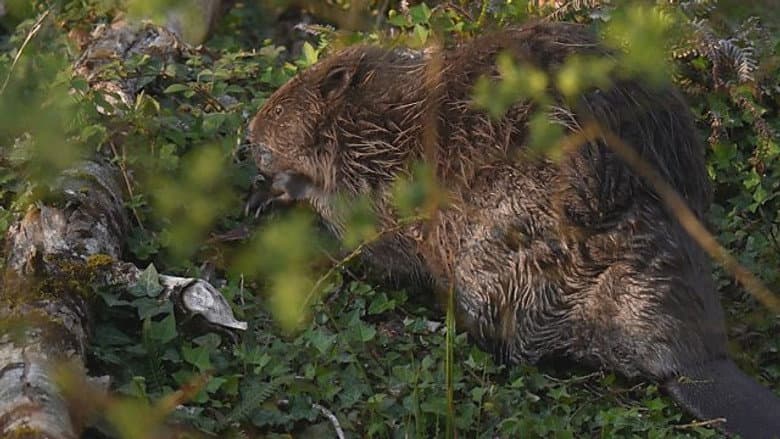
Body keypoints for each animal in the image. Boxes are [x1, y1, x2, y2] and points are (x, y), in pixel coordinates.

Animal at [247, 22, 780, 438]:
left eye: (278, 110)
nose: (249, 134)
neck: (393, 119)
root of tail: (695, 364)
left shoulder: (384, 179)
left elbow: (368, 233)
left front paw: (280, 189)